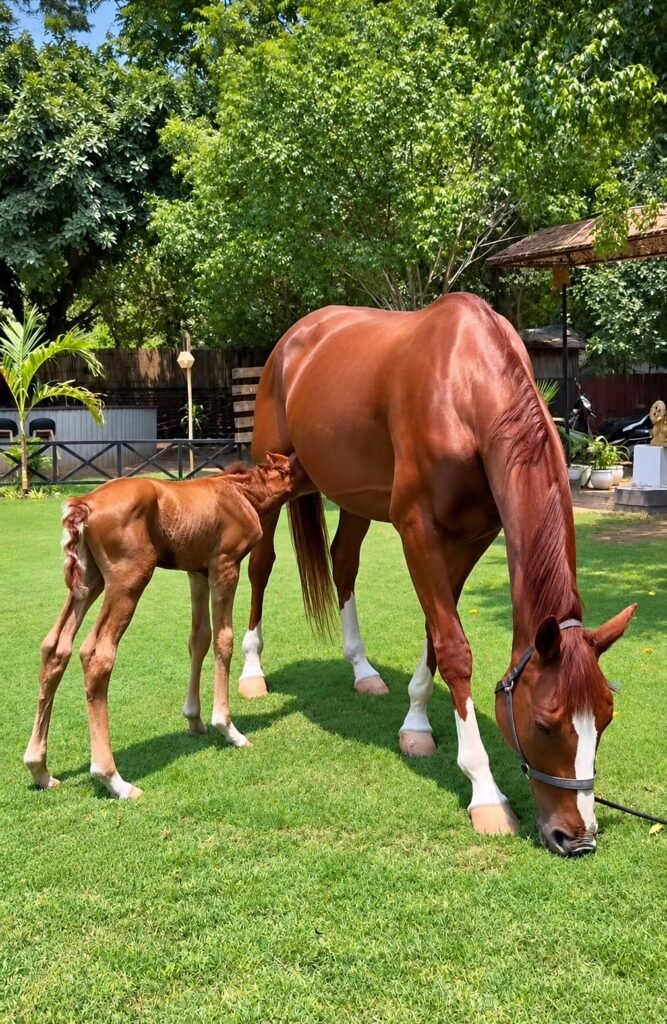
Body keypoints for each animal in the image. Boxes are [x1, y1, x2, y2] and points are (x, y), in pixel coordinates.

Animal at [23, 453, 296, 799]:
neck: (241, 493)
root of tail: (85, 504)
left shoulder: (197, 572)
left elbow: (199, 639)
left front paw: (195, 721)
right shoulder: (225, 566)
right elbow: (224, 639)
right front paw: (228, 729)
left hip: (88, 580)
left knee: (56, 646)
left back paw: (40, 770)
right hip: (129, 578)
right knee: (97, 655)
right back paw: (114, 780)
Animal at [238, 293, 636, 856]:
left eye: (604, 719)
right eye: (544, 723)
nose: (576, 838)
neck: (463, 387)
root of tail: (294, 338)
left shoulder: (475, 535)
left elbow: (435, 631)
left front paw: (416, 723)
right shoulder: (416, 528)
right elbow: (453, 647)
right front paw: (485, 792)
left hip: (354, 496)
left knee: (344, 561)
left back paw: (363, 671)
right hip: (269, 474)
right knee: (261, 565)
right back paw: (252, 672)